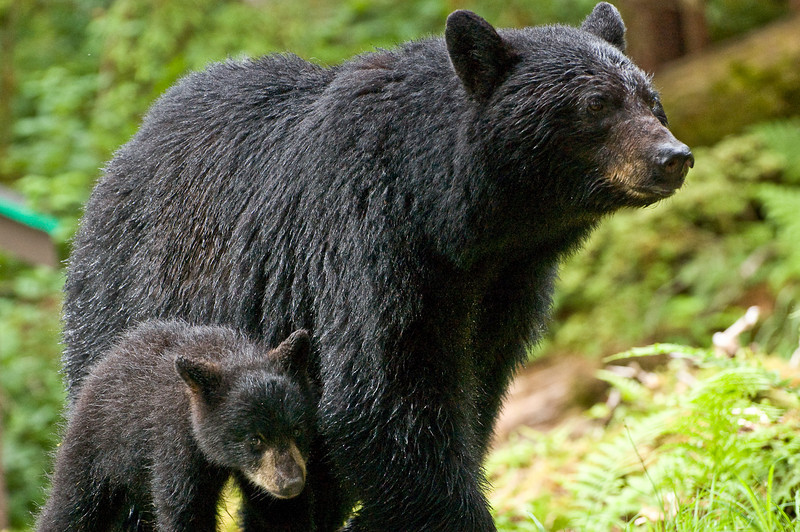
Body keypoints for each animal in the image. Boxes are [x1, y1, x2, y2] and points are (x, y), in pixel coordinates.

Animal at [37, 322, 314, 532]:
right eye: (254, 439)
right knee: (71, 506)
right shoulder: (174, 442)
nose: (292, 483)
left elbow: (278, 514)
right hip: (94, 446)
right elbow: (182, 508)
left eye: (297, 430)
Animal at [62, 3, 692, 528]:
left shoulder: (506, 288)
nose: (674, 156)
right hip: (134, 318)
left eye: (651, 99)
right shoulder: (368, 247)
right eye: (597, 104)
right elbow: (382, 407)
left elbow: (472, 397)